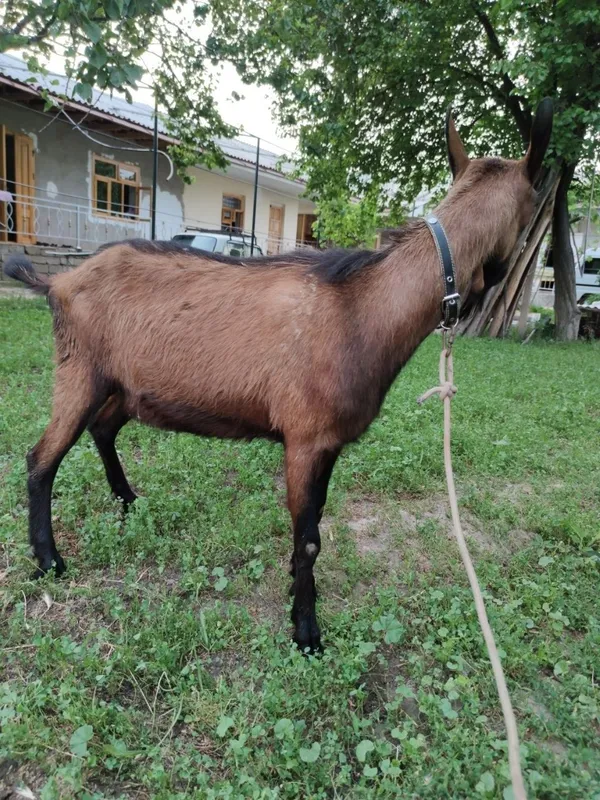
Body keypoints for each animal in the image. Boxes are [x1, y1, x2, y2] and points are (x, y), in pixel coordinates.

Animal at [4, 101, 553, 652]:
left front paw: (297, 594)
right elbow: (309, 538)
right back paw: (50, 560)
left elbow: (314, 525)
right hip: (79, 370)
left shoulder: (328, 442)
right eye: (534, 209)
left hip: (127, 385)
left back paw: (129, 502)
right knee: (41, 459)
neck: (362, 310)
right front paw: (306, 630)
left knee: (103, 428)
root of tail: (59, 281)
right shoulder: (304, 438)